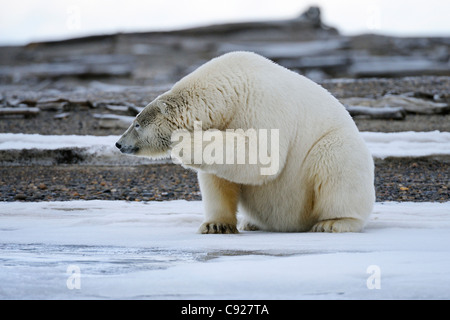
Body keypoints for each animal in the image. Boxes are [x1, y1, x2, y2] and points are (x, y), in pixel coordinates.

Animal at [116, 51, 376, 234]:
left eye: (136, 123)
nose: (119, 143)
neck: (230, 89)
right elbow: (218, 177)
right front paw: (216, 225)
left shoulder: (261, 105)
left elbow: (264, 154)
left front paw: (186, 144)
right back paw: (251, 223)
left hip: (336, 148)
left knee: (336, 163)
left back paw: (333, 223)